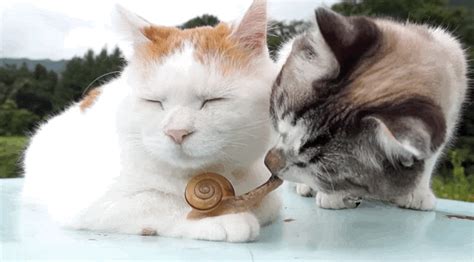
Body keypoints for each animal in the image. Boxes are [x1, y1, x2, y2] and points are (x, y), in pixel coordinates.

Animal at [23, 0, 282, 243]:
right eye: (154, 101)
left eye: (213, 100)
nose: (177, 132)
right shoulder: (85, 200)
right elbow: (155, 200)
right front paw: (220, 218)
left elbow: (268, 205)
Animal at [264, 8, 468, 211]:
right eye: (282, 120)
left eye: (318, 167)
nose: (269, 163)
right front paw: (334, 196)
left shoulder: (449, 115)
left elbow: (429, 160)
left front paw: (417, 194)